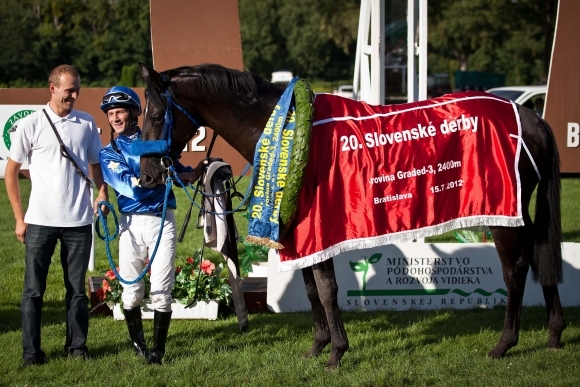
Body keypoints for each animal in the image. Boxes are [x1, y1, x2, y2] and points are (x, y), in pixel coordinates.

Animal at [135, 63, 560, 370]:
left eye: (155, 115)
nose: (148, 176)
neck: (286, 129)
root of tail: (532, 117)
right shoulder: (301, 233)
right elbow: (310, 289)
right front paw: (317, 346)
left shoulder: (318, 228)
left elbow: (326, 288)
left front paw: (337, 352)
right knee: (541, 258)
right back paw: (554, 334)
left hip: (503, 215)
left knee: (516, 268)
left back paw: (504, 344)